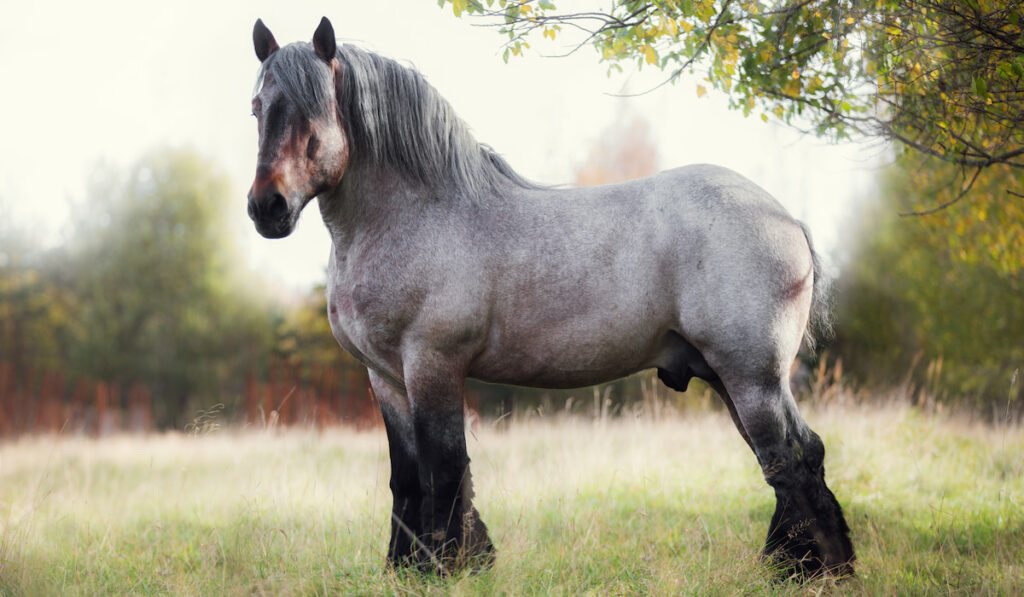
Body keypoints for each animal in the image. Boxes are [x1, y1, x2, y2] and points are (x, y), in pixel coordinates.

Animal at [245, 17, 856, 577]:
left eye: (314, 112)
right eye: (257, 107)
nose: (266, 207)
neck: (414, 215)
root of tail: (784, 218)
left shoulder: (432, 364)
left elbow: (443, 468)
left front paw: (448, 567)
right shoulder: (386, 377)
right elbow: (408, 476)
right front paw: (409, 567)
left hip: (751, 376)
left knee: (786, 459)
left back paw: (812, 568)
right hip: (733, 376)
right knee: (796, 457)